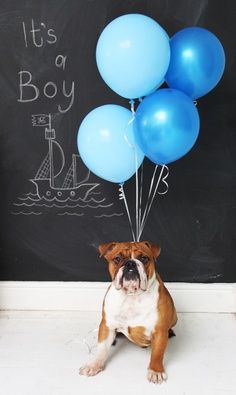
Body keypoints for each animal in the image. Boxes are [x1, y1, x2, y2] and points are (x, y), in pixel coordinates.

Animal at [79, 241, 177, 384]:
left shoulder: (159, 331)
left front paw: (155, 371)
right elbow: (102, 348)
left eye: (144, 258)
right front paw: (94, 365)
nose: (130, 263)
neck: (132, 296)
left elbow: (157, 353)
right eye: (117, 259)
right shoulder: (107, 326)